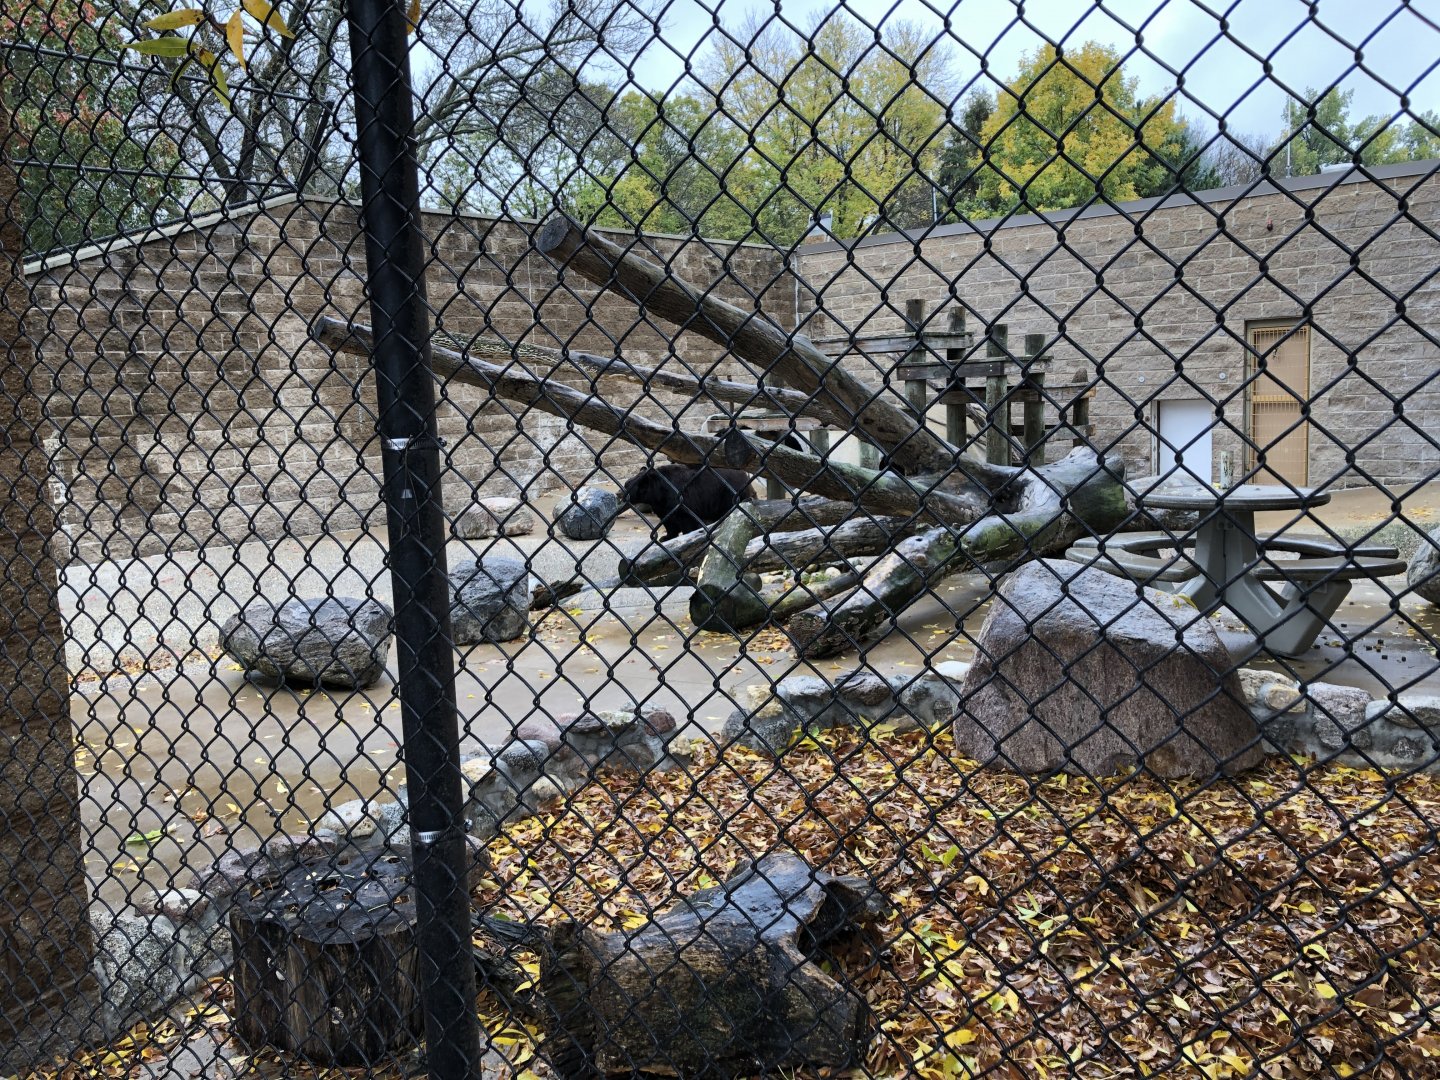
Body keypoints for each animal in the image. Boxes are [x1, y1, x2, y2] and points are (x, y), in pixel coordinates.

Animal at [620, 463, 757, 539]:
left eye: (627, 486)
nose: (621, 495)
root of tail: (745, 475)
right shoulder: (663, 507)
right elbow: (669, 523)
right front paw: (666, 537)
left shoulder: (680, 502)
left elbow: (687, 521)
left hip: (728, 496)